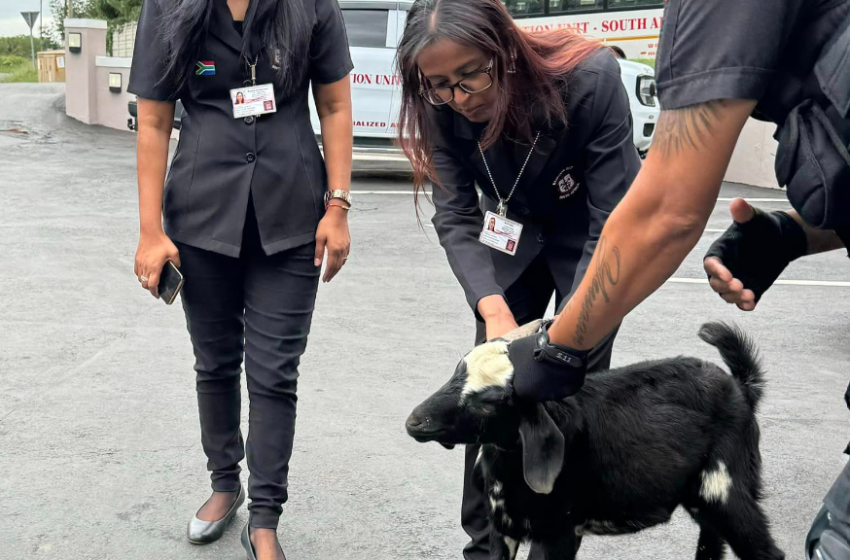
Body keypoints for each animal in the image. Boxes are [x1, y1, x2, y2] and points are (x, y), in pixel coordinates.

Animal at [404, 322, 780, 556]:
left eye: (487, 403)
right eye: (457, 371)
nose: (415, 421)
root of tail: (741, 388)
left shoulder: (559, 530)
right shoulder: (503, 529)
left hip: (726, 486)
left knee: (765, 549)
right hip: (702, 496)